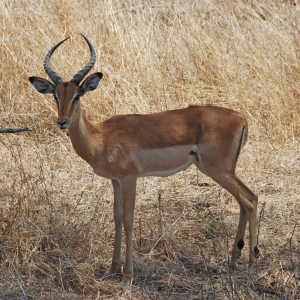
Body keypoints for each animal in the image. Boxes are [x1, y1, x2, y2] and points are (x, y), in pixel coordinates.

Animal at [29, 34, 258, 284]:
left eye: (77, 96)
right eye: (56, 95)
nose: (62, 122)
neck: (101, 138)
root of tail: (241, 117)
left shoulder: (130, 179)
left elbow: (129, 220)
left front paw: (128, 275)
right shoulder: (115, 181)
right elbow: (117, 217)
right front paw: (113, 268)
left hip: (218, 170)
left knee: (249, 202)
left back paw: (251, 263)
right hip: (221, 170)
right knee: (249, 198)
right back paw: (234, 259)